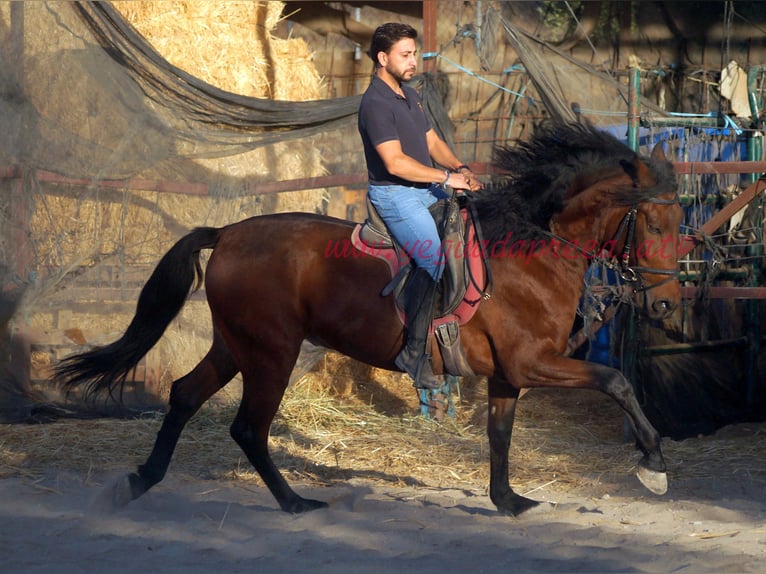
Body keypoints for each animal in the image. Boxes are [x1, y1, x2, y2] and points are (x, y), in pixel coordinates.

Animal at [54, 122, 683, 516]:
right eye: (654, 223)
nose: (666, 304)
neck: (531, 249)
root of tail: (228, 232)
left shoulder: (509, 374)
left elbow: (499, 435)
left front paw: (508, 502)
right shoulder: (533, 363)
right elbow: (616, 380)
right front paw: (653, 464)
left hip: (236, 345)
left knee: (185, 395)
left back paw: (140, 481)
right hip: (272, 353)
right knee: (248, 427)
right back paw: (294, 503)